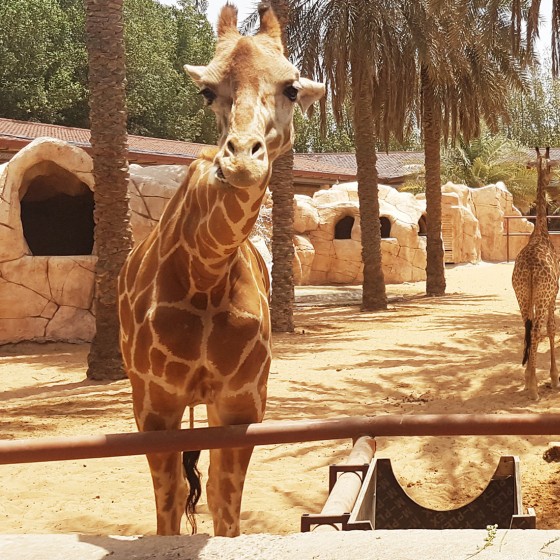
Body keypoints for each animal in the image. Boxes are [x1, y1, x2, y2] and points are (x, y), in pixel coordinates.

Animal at [117, 3, 324, 540]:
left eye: (291, 87)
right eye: (207, 91)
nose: (242, 160)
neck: (206, 273)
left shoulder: (242, 402)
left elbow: (223, 500)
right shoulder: (155, 405)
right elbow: (169, 501)